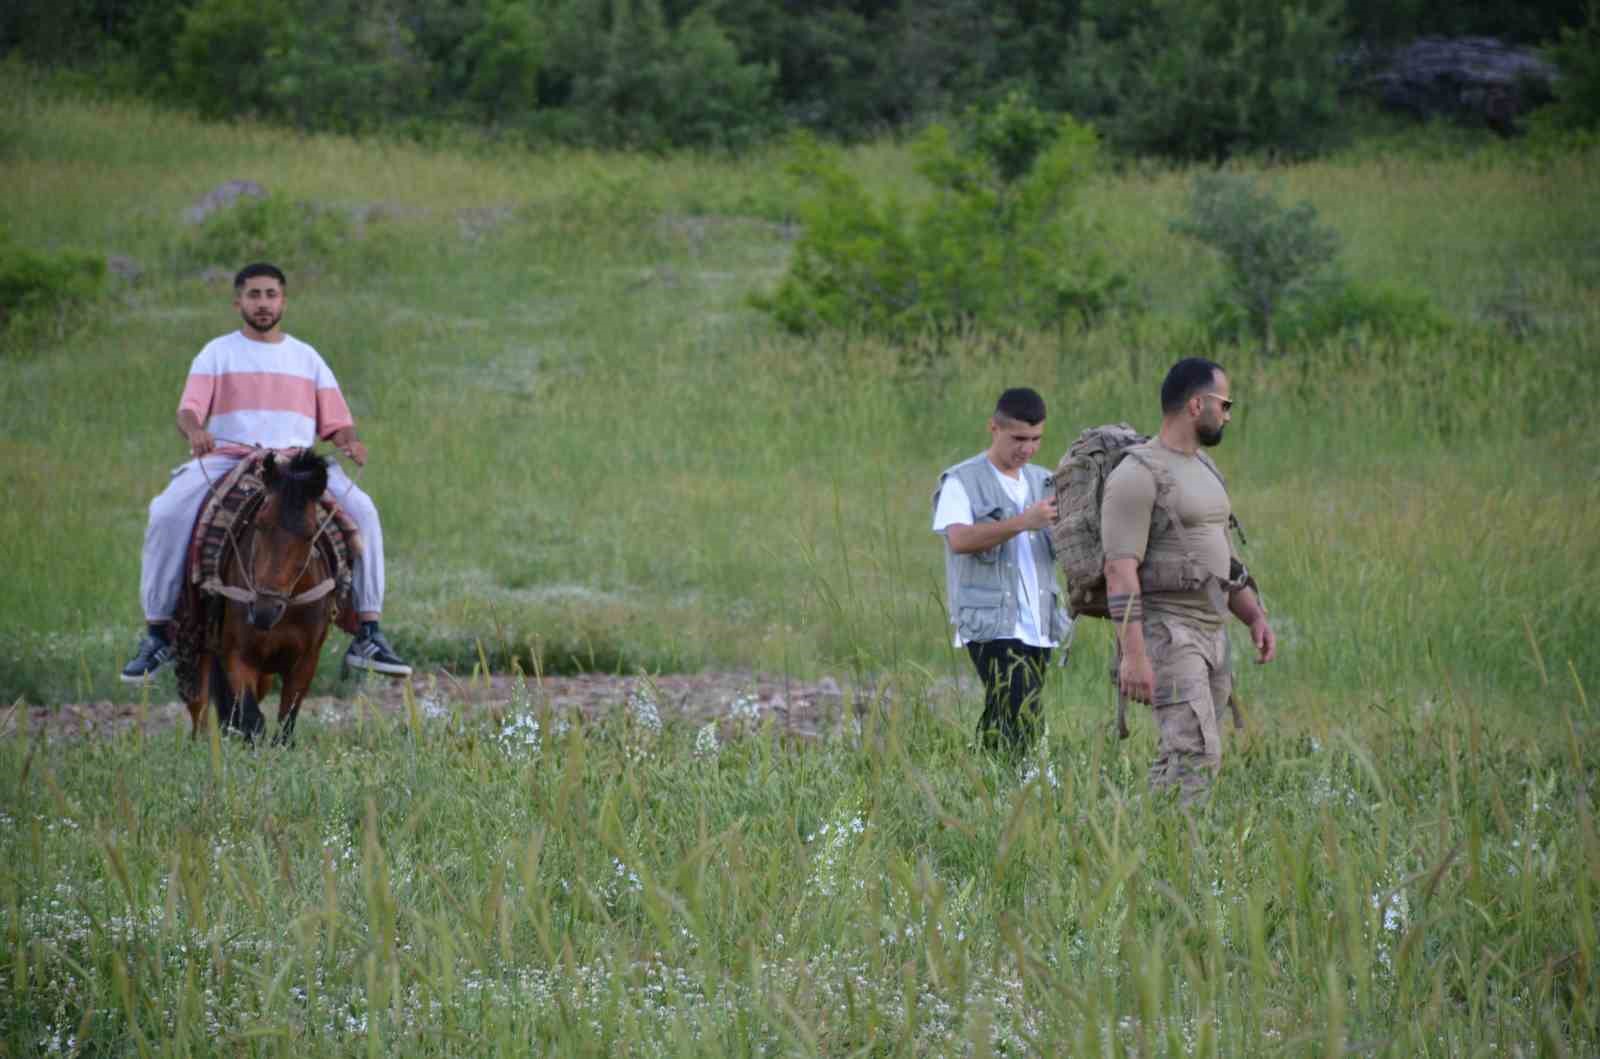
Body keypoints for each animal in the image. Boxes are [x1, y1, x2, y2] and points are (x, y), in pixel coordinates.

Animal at [185, 451, 336, 745]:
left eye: (309, 532)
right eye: (260, 523)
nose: (264, 611)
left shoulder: (307, 660)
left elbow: (286, 724)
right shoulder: (236, 655)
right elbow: (252, 719)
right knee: (201, 705)